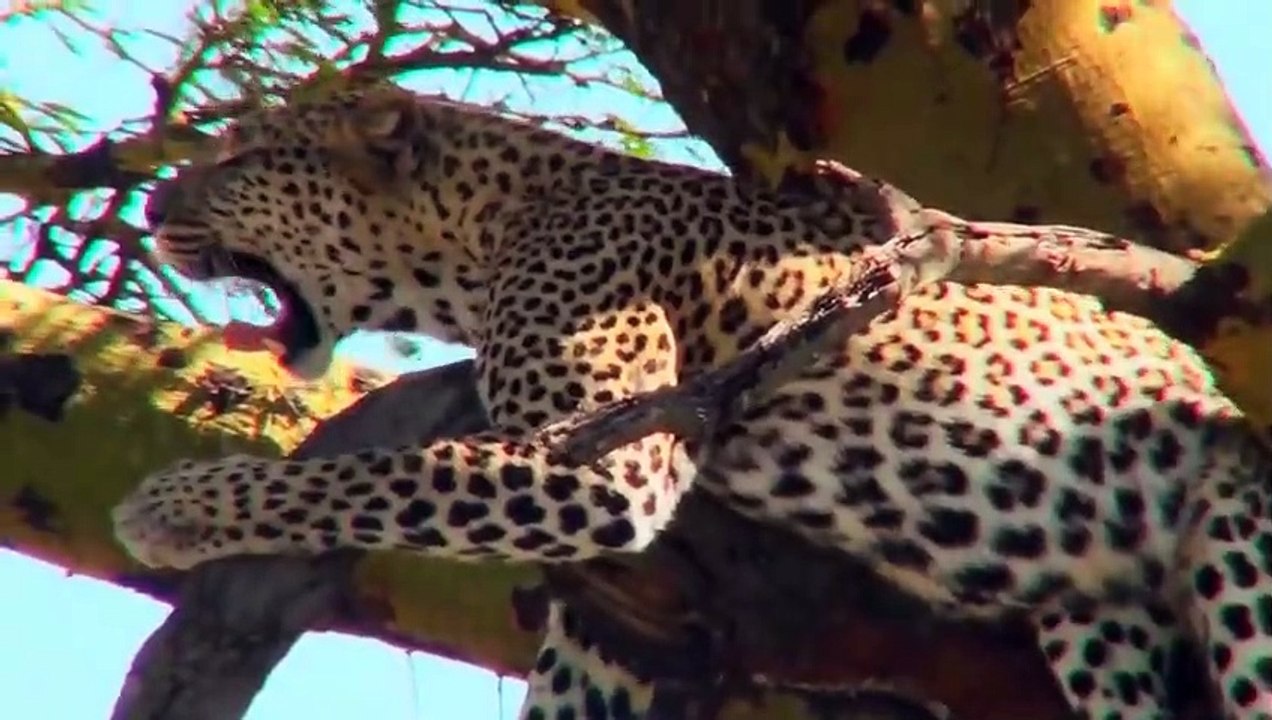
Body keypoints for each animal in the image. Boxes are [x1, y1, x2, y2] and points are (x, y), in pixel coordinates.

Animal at [113, 83, 1272, 720]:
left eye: (245, 158)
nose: (155, 204)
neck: (484, 231)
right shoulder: (620, 623)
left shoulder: (607, 470)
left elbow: (371, 476)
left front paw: (177, 506)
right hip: (1095, 619)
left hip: (1238, 533)